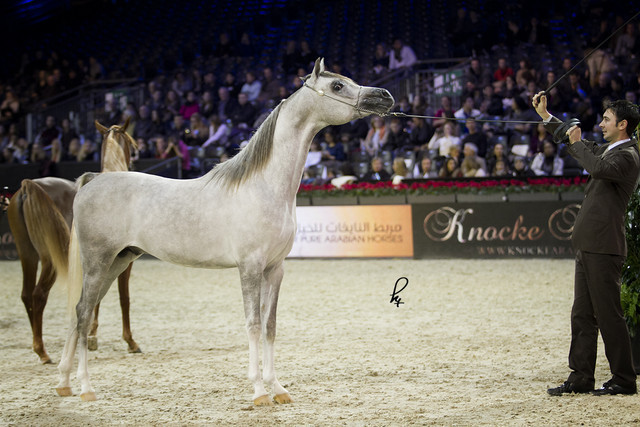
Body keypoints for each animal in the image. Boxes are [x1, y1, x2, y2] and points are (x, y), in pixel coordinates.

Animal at [7, 119, 140, 364]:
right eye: (131, 144)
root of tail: (28, 185)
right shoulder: (124, 261)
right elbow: (123, 298)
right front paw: (130, 341)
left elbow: (95, 298)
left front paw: (91, 335)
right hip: (49, 259)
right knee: (38, 295)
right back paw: (42, 351)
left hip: (26, 254)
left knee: (26, 294)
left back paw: (38, 343)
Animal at [55, 58, 394, 404]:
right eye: (337, 85)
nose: (385, 96)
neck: (264, 187)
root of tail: (93, 179)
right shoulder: (250, 267)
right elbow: (253, 324)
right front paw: (258, 391)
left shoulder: (275, 269)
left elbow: (270, 325)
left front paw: (277, 388)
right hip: (98, 262)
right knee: (83, 313)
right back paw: (85, 387)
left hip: (118, 261)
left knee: (79, 311)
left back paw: (65, 382)